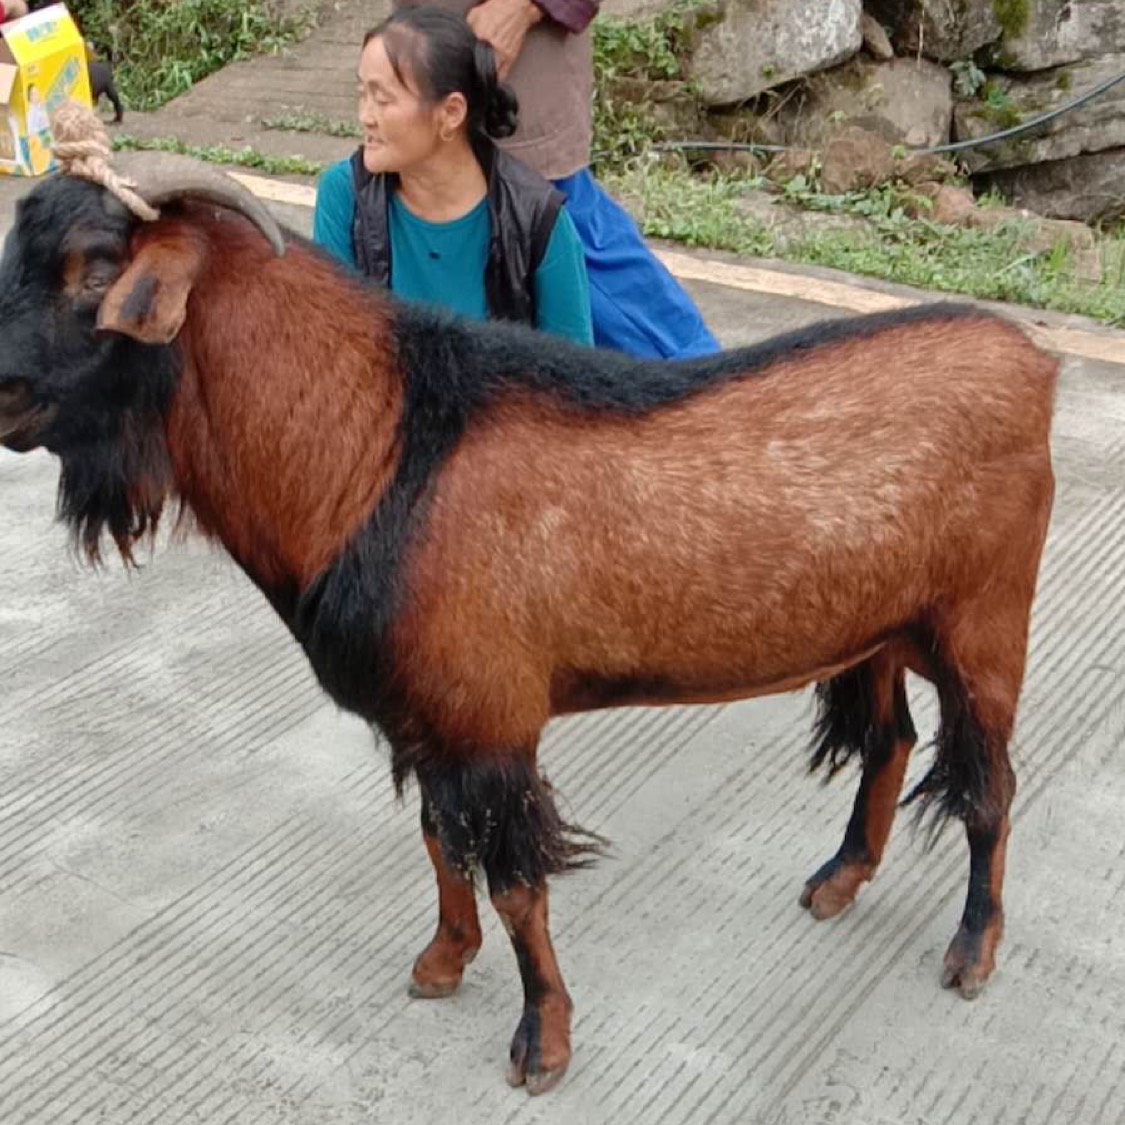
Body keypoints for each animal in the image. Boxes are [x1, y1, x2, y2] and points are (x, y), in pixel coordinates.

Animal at [0, 168, 1053, 1098]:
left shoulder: (491, 714)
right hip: (877, 626)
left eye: (96, 270)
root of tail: (1032, 363)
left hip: (984, 621)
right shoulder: (428, 714)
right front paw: (441, 959)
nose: (1, 391)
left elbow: (515, 883)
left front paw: (541, 1041)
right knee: (891, 740)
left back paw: (971, 950)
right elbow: (439, 839)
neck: (378, 451)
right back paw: (837, 881)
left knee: (990, 786)